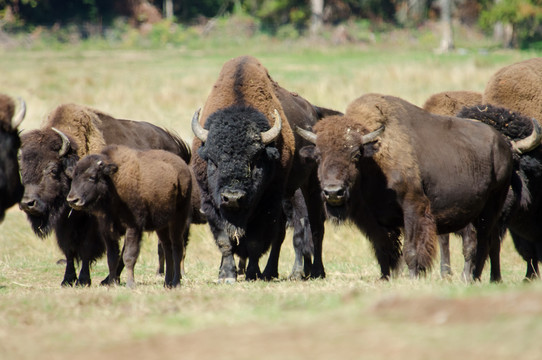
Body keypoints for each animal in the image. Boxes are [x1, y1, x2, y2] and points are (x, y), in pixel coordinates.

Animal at [67, 145, 193, 288]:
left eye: (92, 177)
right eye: (73, 176)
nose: (73, 200)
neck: (114, 181)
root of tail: (184, 167)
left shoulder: (133, 227)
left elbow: (129, 256)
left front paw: (130, 284)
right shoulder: (107, 230)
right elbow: (112, 258)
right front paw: (111, 283)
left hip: (178, 219)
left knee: (177, 248)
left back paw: (176, 282)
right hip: (162, 226)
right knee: (167, 248)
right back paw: (167, 283)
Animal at [189, 55, 338, 282]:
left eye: (255, 160)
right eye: (213, 161)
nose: (232, 197)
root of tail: (314, 112)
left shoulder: (267, 201)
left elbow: (255, 242)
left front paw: (252, 273)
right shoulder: (211, 202)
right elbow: (225, 239)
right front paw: (226, 274)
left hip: (310, 185)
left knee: (315, 227)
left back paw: (316, 272)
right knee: (281, 235)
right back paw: (270, 271)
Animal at [298, 93, 540, 282]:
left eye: (355, 155)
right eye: (318, 156)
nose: (333, 192)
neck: (375, 159)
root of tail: (504, 145)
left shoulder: (414, 207)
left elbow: (411, 250)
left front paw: (414, 277)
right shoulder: (372, 219)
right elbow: (383, 249)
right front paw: (386, 277)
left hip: (492, 207)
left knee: (484, 242)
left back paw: (475, 278)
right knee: (478, 242)